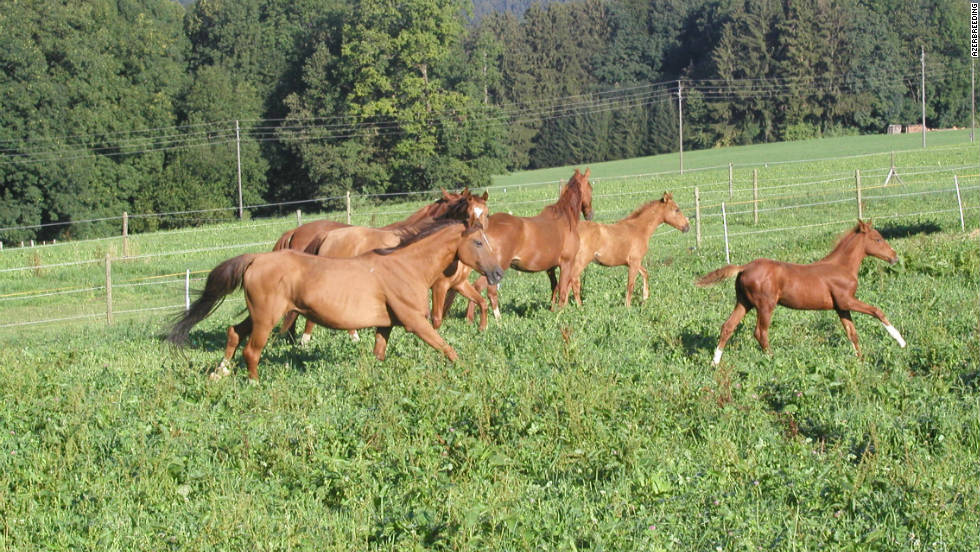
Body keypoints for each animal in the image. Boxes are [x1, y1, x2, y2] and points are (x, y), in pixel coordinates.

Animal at [167, 220, 502, 380]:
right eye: (477, 242)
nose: (497, 272)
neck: (406, 266)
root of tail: (255, 259)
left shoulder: (385, 326)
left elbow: (378, 355)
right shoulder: (415, 323)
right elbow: (447, 349)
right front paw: (466, 371)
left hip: (258, 314)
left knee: (234, 333)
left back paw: (220, 372)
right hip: (266, 318)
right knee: (252, 351)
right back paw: (253, 382)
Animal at [460, 166, 596, 320]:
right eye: (590, 188)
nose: (590, 214)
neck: (565, 219)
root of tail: (483, 227)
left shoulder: (550, 267)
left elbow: (555, 287)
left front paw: (552, 310)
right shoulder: (567, 263)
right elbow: (563, 289)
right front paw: (560, 314)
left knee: (476, 288)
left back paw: (470, 319)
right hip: (495, 270)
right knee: (487, 290)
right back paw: (496, 319)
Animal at [692, 220, 908, 366]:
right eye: (877, 238)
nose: (895, 257)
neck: (842, 267)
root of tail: (744, 267)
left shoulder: (841, 307)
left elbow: (852, 334)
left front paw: (861, 359)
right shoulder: (847, 301)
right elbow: (877, 311)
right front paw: (901, 341)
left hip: (744, 302)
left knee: (727, 327)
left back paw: (715, 363)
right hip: (765, 305)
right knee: (760, 332)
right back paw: (772, 359)